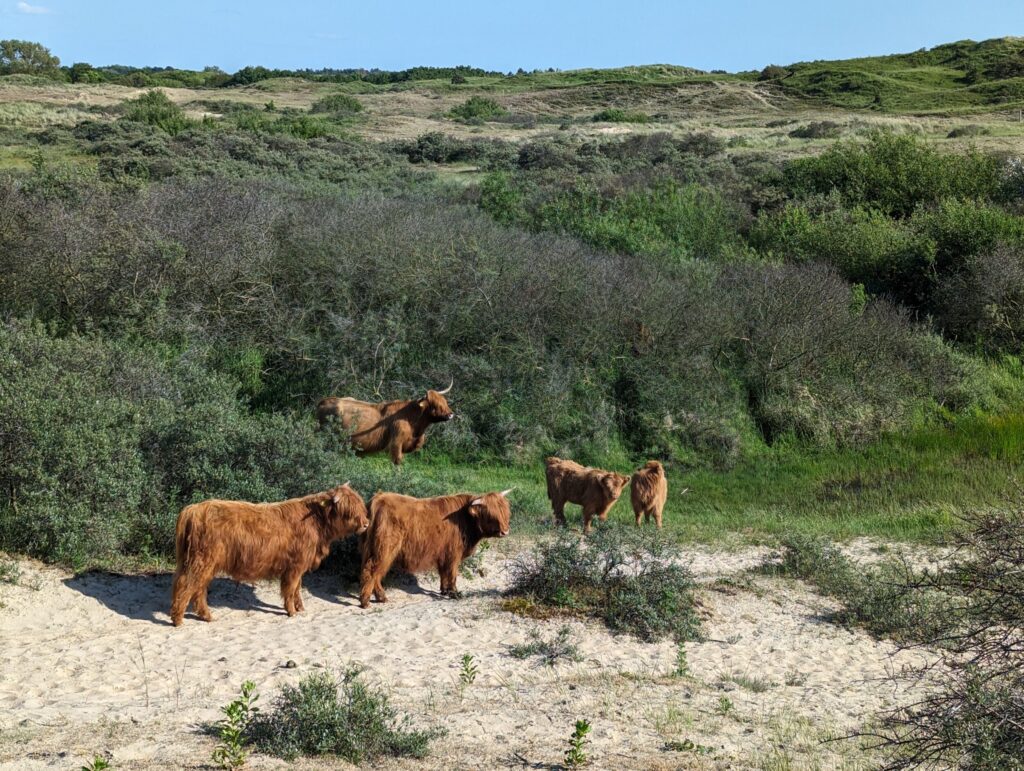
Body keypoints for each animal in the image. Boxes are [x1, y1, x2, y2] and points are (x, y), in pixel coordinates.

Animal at [169, 481, 370, 626]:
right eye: (347, 509)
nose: (366, 523)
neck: (316, 522)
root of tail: (193, 509)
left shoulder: (298, 567)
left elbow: (297, 588)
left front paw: (300, 608)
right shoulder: (295, 565)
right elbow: (290, 588)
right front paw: (291, 611)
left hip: (204, 564)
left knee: (198, 588)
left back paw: (206, 616)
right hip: (201, 561)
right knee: (186, 585)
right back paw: (178, 619)